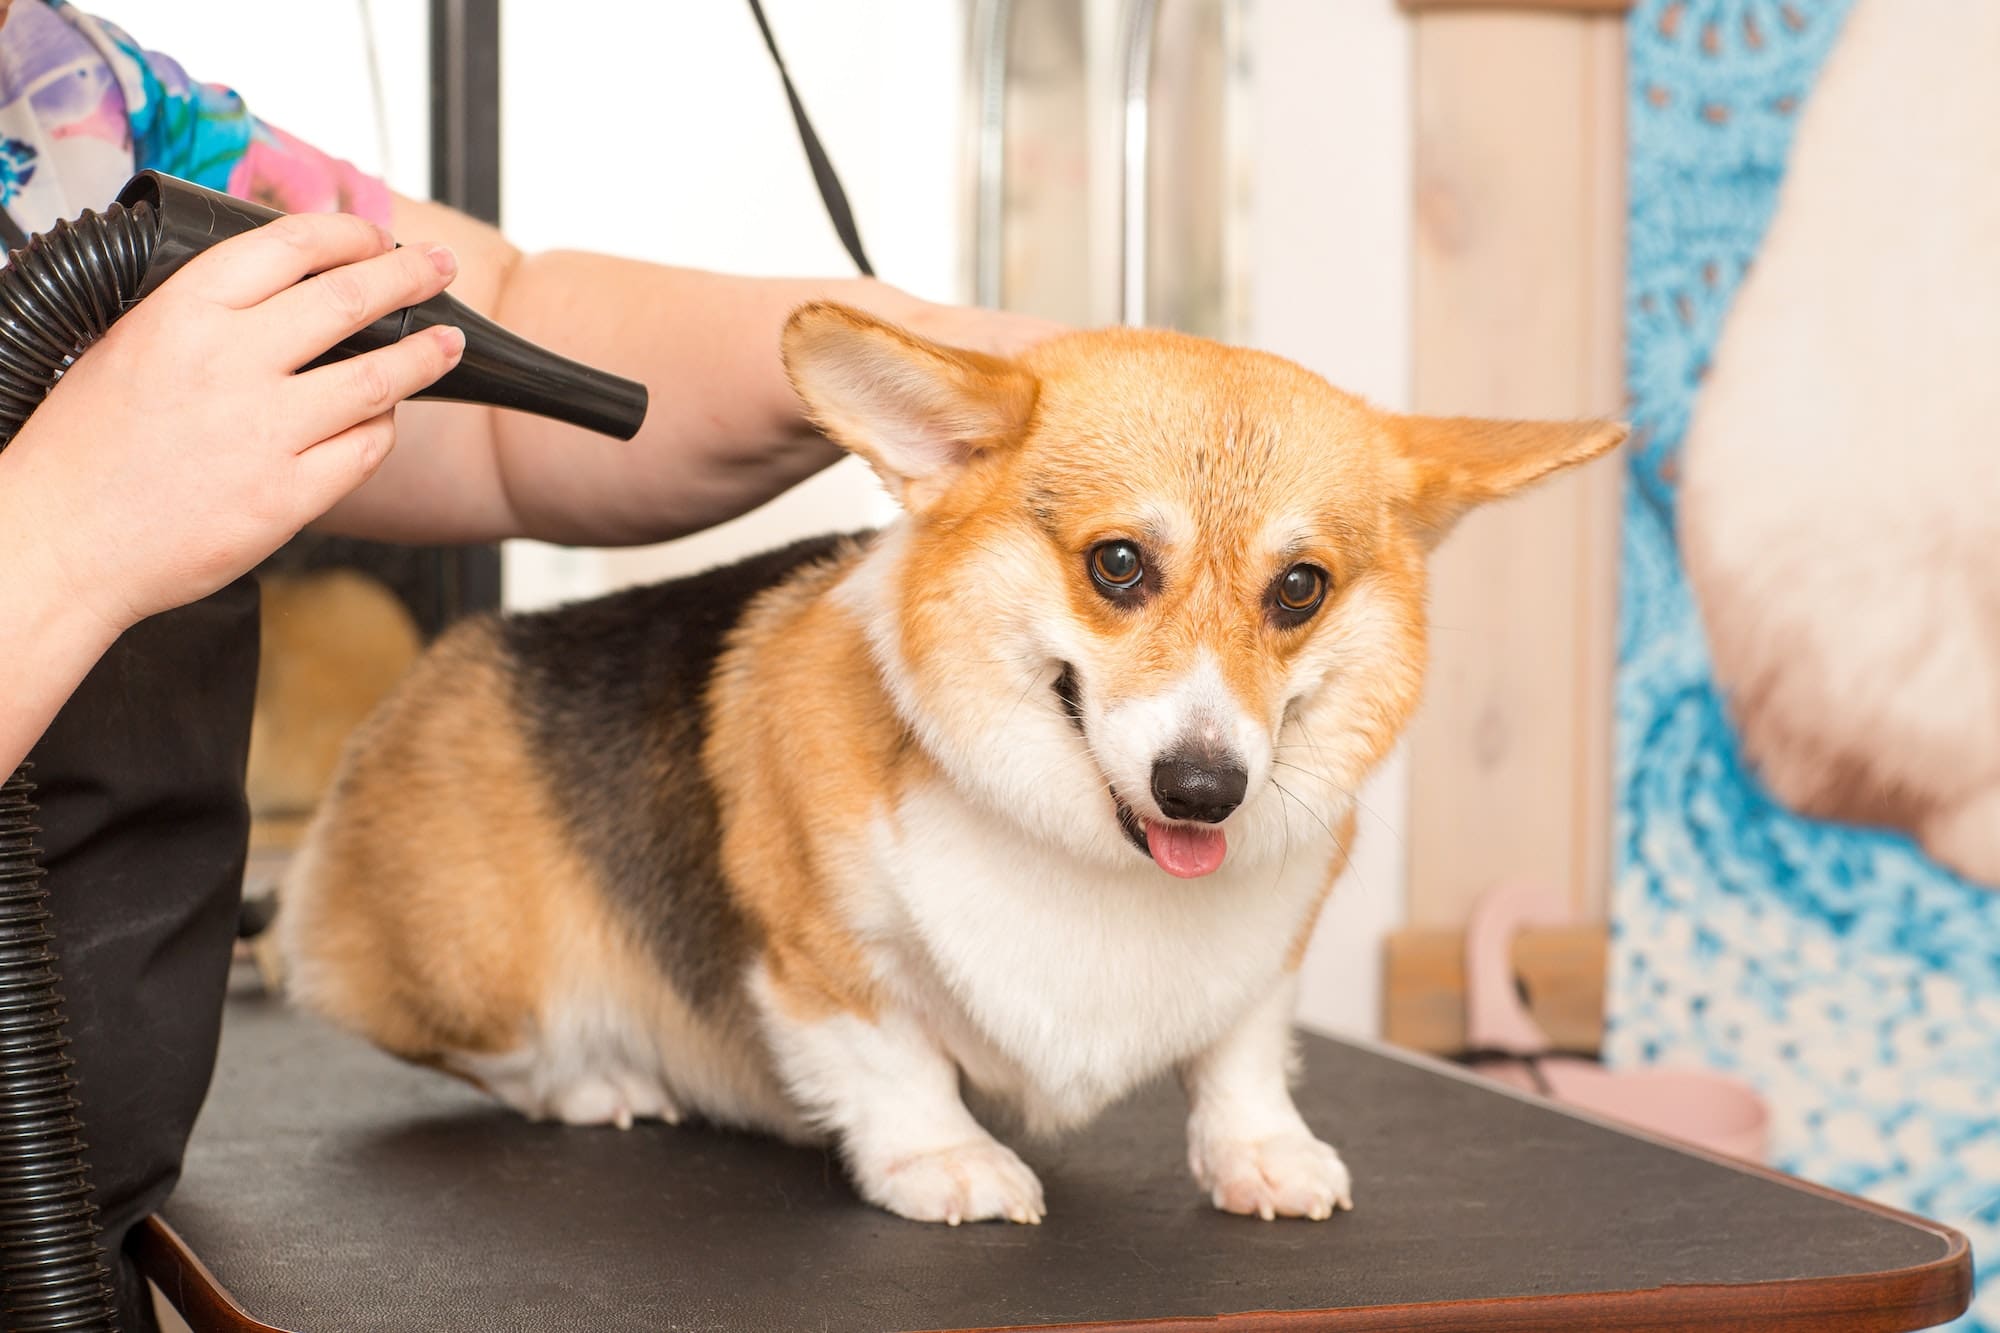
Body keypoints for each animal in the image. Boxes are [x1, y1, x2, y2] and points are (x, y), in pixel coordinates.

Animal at [282, 304, 1624, 1224]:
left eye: (1299, 587)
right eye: (1116, 563)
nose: (1203, 790)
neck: (1086, 857)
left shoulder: (1268, 955)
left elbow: (1240, 1049)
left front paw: (1259, 1151)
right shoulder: (815, 952)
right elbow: (892, 1055)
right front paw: (948, 1160)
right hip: (470, 973)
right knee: (502, 1050)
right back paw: (594, 1079)